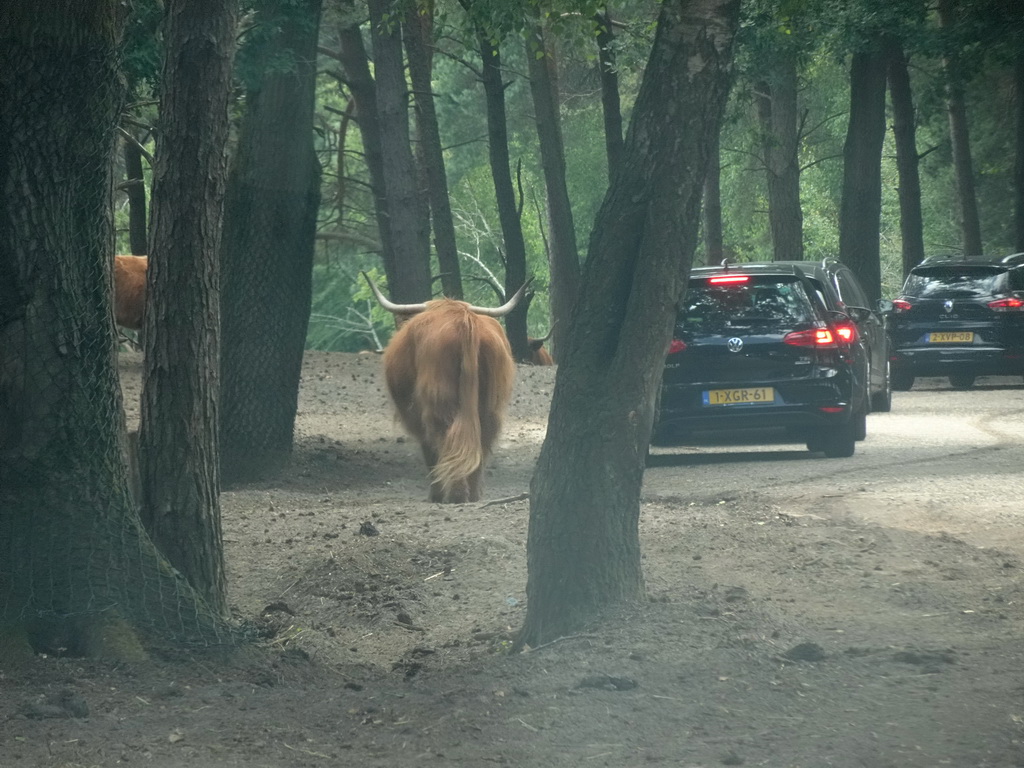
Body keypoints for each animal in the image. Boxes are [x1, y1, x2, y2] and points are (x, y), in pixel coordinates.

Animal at [366, 276, 528, 505]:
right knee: (482, 437)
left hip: (437, 399)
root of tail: (463, 317)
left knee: (444, 434)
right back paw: (473, 494)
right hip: (491, 404)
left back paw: (453, 494)